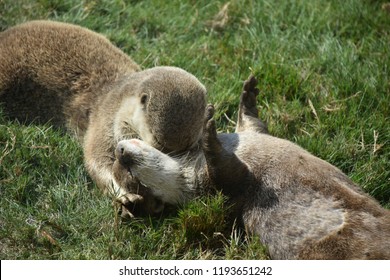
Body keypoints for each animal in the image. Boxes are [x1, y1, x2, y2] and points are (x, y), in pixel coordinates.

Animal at [0, 20, 207, 213]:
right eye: (158, 143)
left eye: (189, 147)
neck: (119, 100)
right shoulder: (106, 120)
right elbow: (96, 161)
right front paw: (125, 196)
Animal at [114, 75, 388, 260]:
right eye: (131, 176)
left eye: (121, 165)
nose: (120, 152)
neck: (190, 165)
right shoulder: (224, 187)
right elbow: (228, 172)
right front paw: (208, 134)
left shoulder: (249, 135)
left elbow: (252, 124)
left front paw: (248, 95)